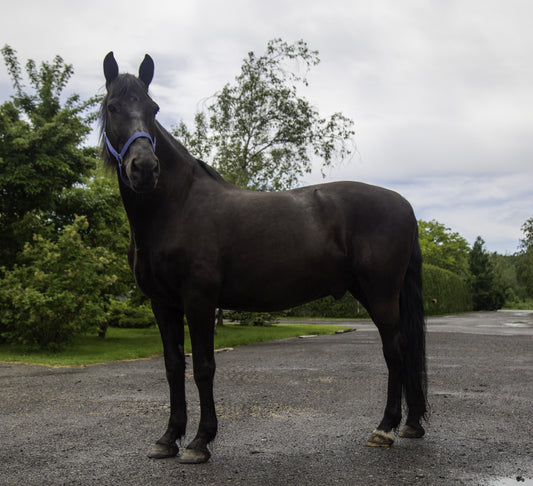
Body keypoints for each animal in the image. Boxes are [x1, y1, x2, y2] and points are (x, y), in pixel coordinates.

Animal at [98, 52, 424, 464]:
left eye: (153, 109)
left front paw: (199, 442)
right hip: (371, 293)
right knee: (406, 350)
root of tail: (404, 204)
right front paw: (168, 438)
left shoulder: (199, 301)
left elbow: (203, 367)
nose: (144, 169)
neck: (176, 207)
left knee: (395, 351)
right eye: (112, 107)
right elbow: (174, 367)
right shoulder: (162, 304)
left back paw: (384, 429)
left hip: (380, 294)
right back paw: (411, 425)